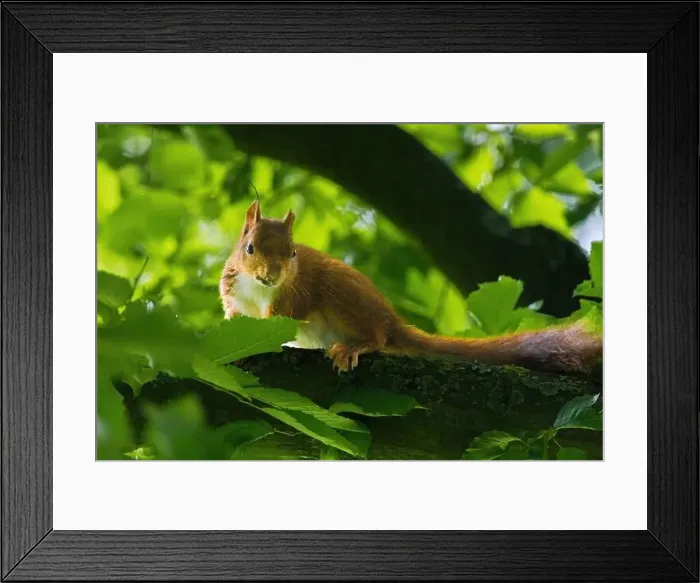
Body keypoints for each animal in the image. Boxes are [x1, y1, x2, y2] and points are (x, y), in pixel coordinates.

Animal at [219, 200, 602, 374]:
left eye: (293, 253)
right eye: (250, 248)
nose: (273, 276)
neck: (257, 289)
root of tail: (392, 320)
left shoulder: (293, 297)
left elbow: (280, 318)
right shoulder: (233, 293)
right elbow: (234, 316)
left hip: (344, 299)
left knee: (378, 338)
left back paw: (355, 346)